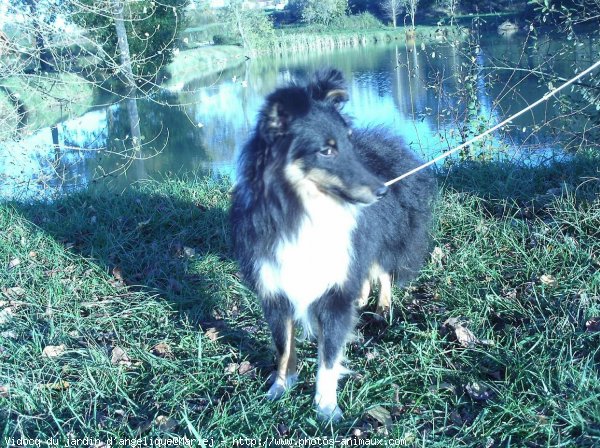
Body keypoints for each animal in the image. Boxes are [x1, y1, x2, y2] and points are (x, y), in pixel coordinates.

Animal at [231, 69, 436, 420]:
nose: (382, 191)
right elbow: (284, 347)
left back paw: (382, 307)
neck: (303, 211)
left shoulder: (334, 292)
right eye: (326, 151)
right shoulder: (276, 289)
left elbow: (328, 357)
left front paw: (326, 407)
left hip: (380, 241)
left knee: (382, 271)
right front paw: (280, 388)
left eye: (347, 142)